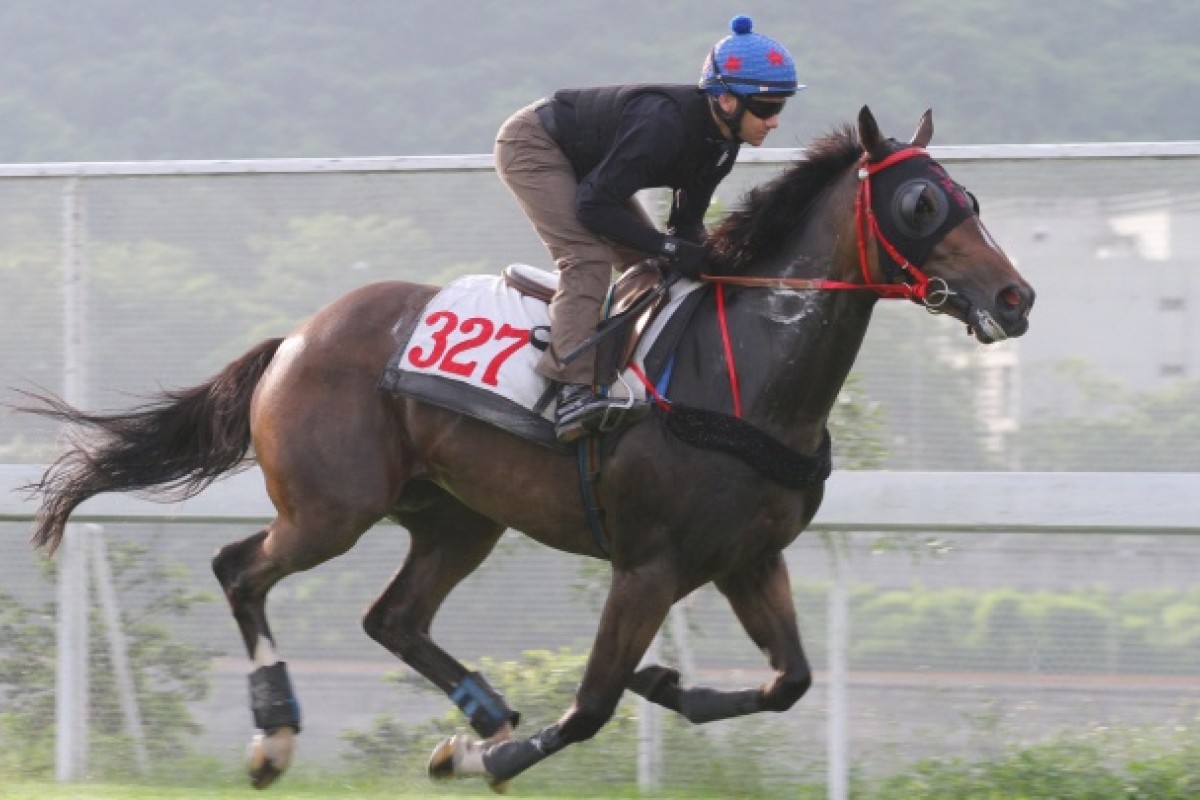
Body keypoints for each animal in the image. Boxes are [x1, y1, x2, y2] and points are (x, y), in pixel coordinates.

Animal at [18, 107, 1032, 796]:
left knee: (391, 617)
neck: (743, 375)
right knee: (241, 569)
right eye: (919, 200)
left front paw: (660, 683)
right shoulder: (650, 564)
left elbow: (790, 681)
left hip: (458, 518)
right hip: (330, 508)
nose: (1015, 297)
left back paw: (477, 707)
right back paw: (278, 736)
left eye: (971, 196)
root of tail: (297, 337)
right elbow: (589, 707)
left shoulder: (749, 558)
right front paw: (495, 757)